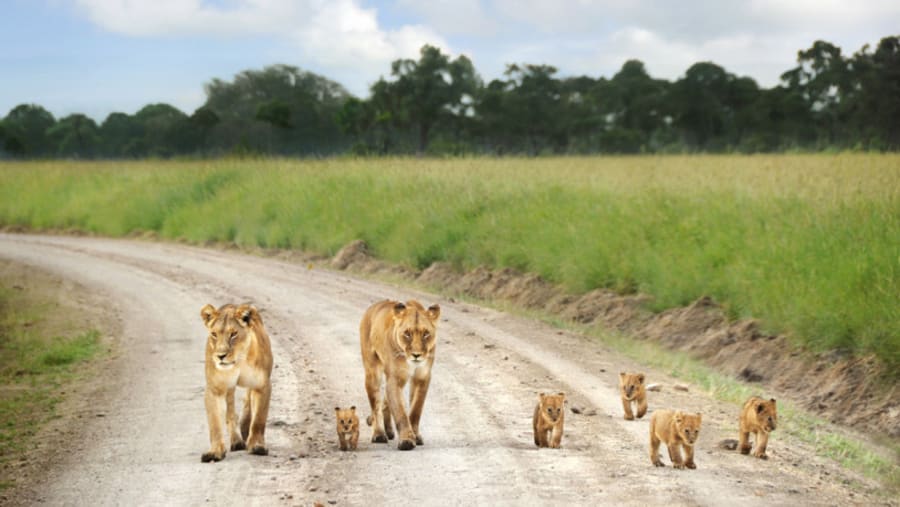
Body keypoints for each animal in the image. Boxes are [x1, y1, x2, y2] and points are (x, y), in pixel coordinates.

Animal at [199, 303, 273, 463]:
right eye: (214, 334)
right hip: (229, 388)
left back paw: (245, 429)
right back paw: (237, 441)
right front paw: (215, 452)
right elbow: (215, 423)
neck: (238, 361)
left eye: (233, 334)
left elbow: (259, 419)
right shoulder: (215, 389)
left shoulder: (262, 385)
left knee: (248, 402)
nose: (221, 356)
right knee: (230, 412)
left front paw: (257, 446)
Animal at [360, 299, 440, 451]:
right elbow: (400, 412)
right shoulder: (395, 379)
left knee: (385, 401)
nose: (416, 355)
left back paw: (389, 431)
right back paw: (379, 434)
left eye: (426, 334)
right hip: (373, 372)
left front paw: (416, 436)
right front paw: (407, 440)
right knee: (376, 405)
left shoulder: (422, 377)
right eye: (407, 334)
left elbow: (415, 410)